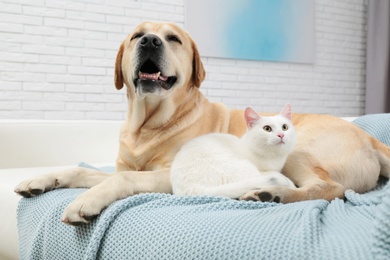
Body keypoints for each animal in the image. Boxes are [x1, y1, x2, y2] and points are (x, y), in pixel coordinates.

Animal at [15, 21, 390, 225]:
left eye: (173, 39)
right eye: (137, 35)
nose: (150, 41)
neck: (148, 125)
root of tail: (370, 138)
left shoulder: (166, 177)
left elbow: (120, 179)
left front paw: (84, 201)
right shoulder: (126, 165)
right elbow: (83, 170)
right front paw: (41, 180)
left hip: (298, 151)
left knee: (330, 189)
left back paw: (271, 193)